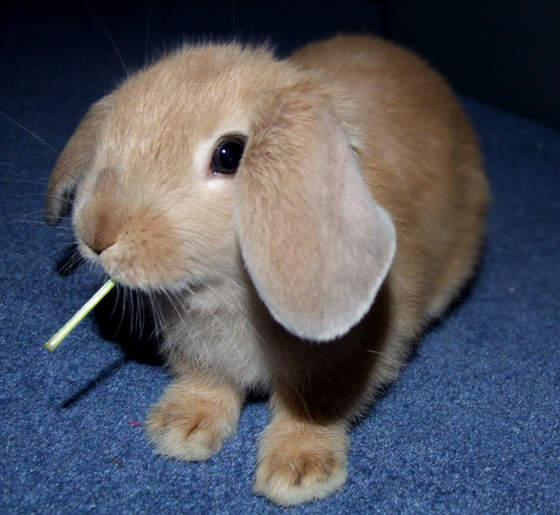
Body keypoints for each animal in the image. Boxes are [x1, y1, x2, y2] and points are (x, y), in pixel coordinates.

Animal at [45, 34, 489, 505]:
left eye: (229, 154)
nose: (97, 233)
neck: (232, 287)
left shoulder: (341, 364)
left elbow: (311, 410)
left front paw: (298, 474)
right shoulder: (203, 353)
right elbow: (209, 383)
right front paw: (180, 430)